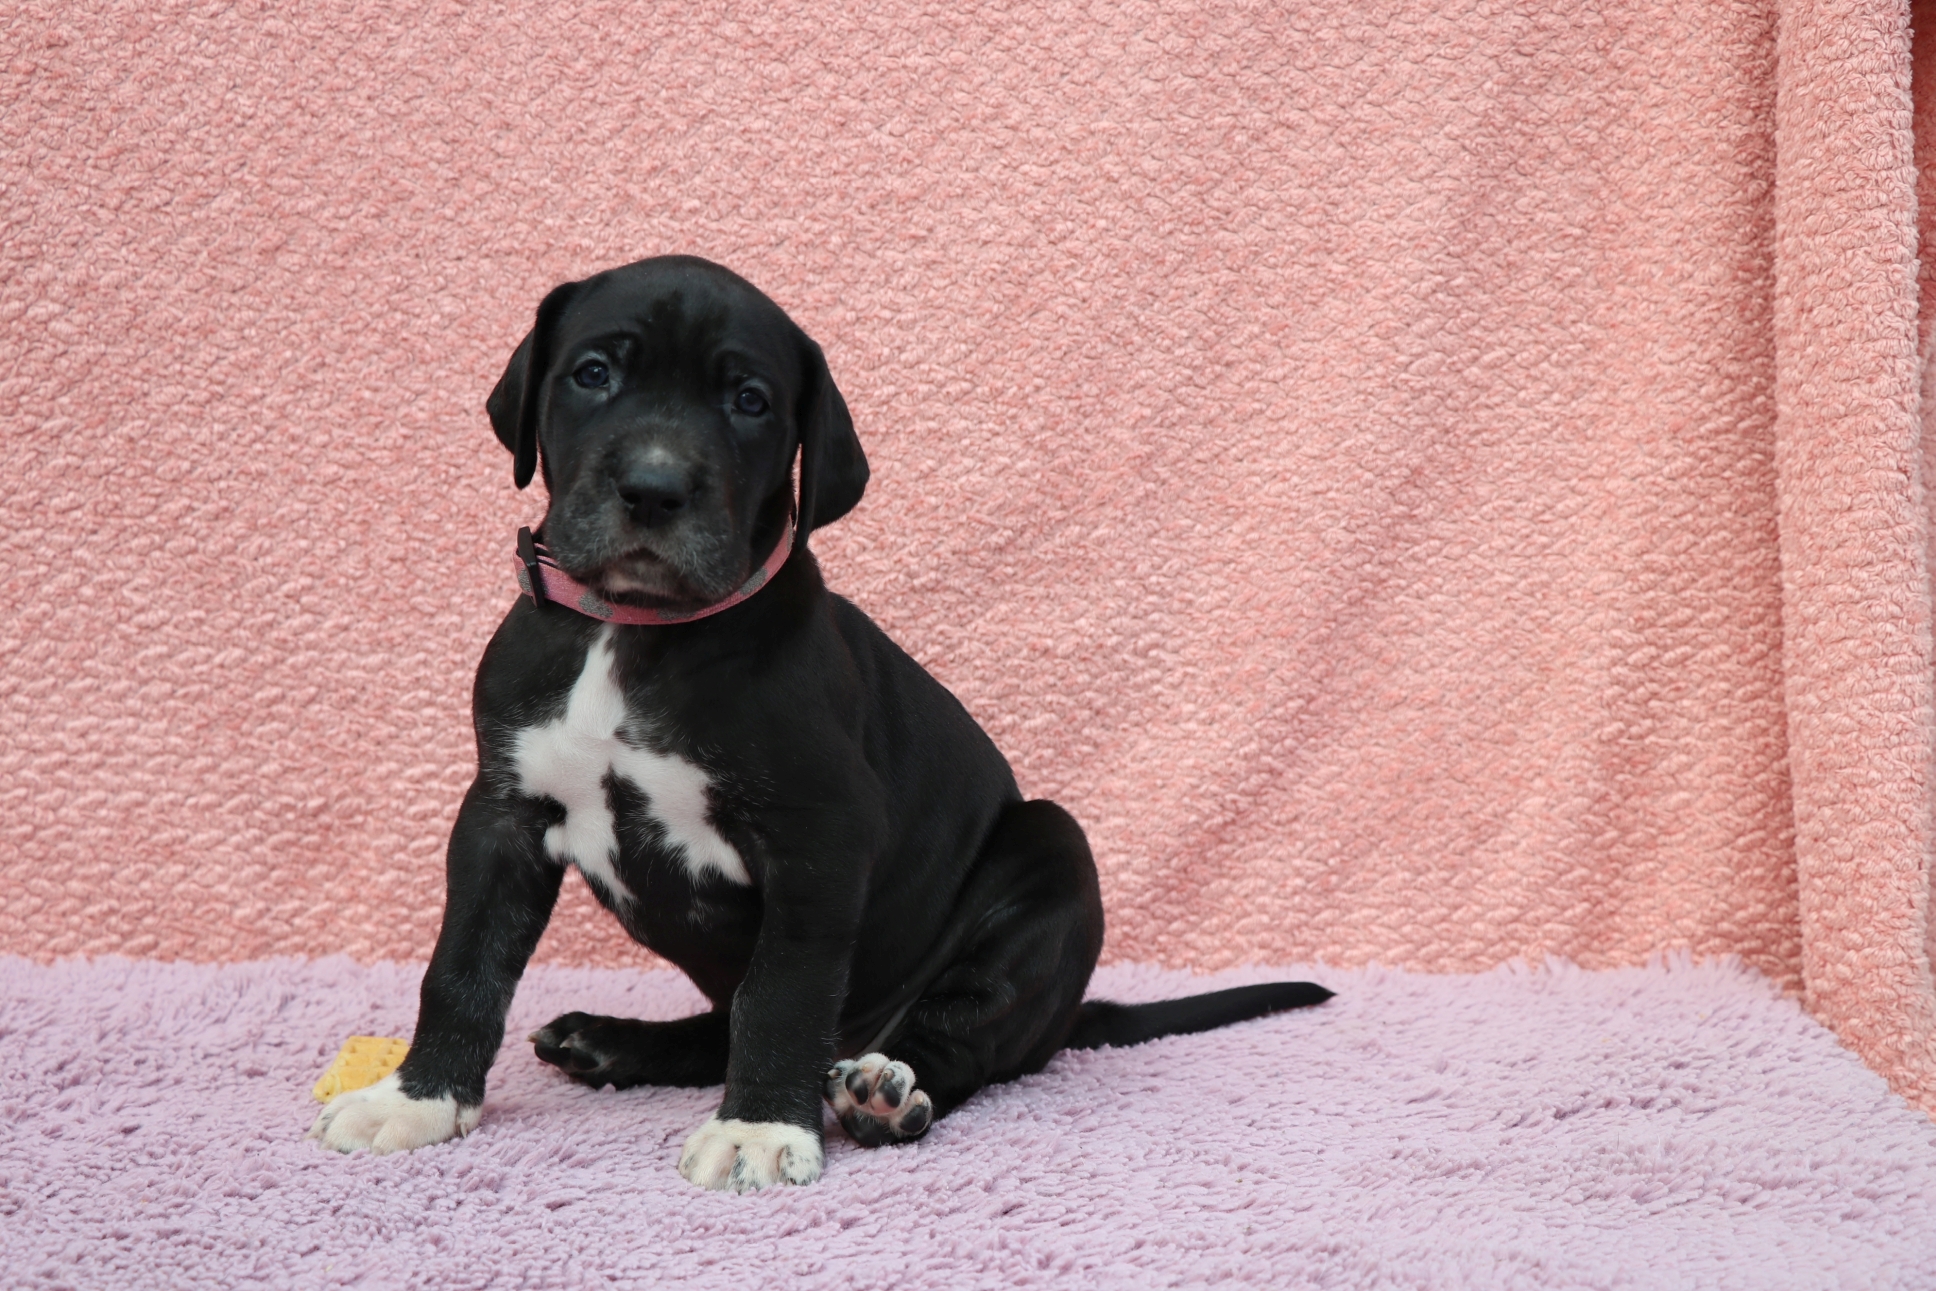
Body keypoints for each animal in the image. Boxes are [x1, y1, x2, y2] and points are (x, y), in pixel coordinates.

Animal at [307, 255, 1332, 1190]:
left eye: (750, 401)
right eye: (593, 373)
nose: (653, 487)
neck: (634, 630)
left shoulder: (820, 837)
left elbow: (785, 992)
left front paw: (761, 1126)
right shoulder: (501, 814)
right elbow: (462, 962)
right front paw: (418, 1099)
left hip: (1050, 858)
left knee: (958, 1031)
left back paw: (884, 1087)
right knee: (718, 1025)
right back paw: (612, 1042)